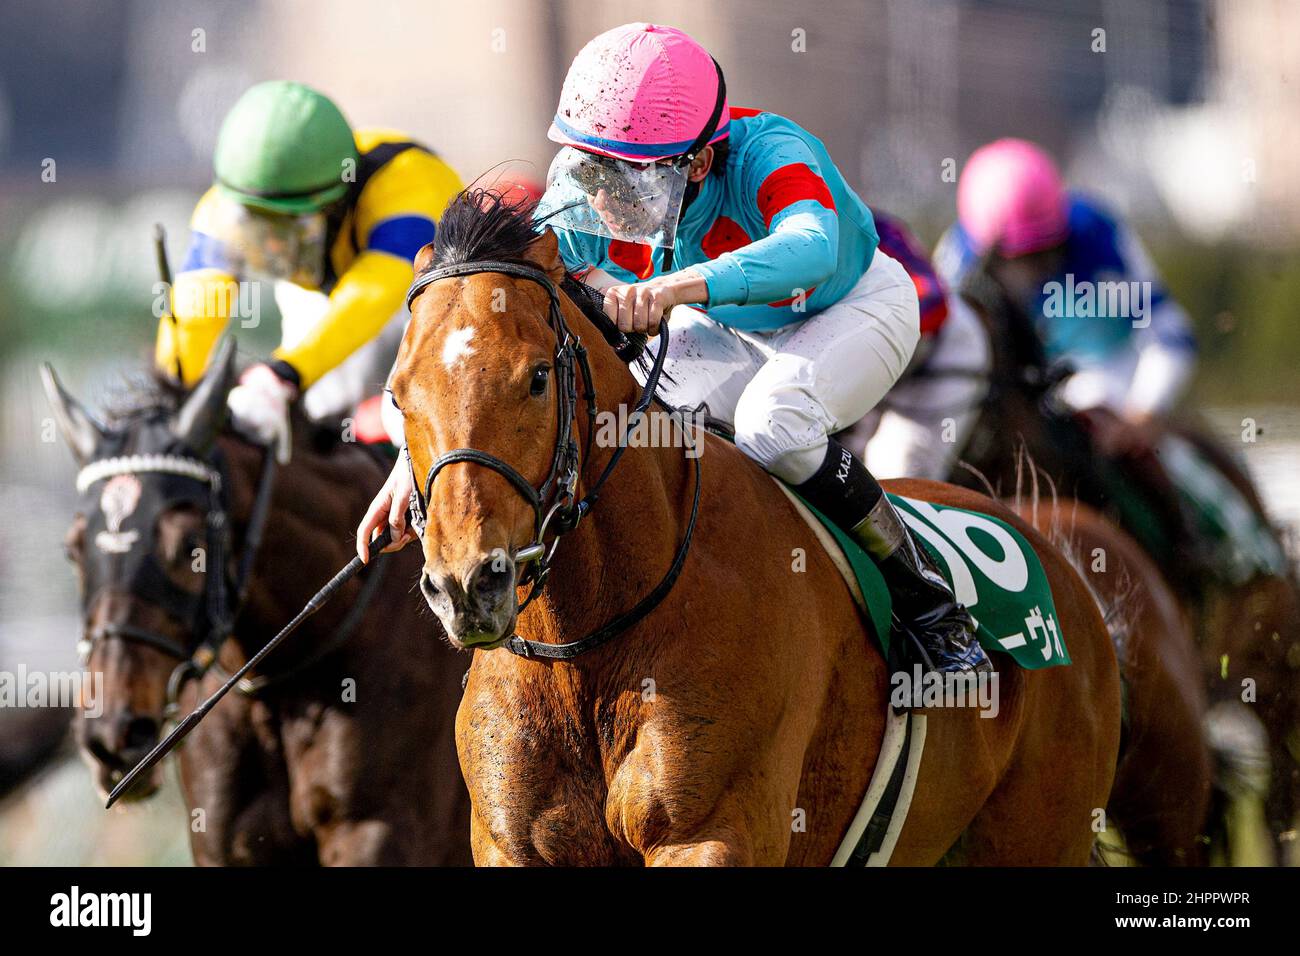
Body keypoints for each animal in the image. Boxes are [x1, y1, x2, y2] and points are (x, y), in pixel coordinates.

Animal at [384, 192, 1118, 868]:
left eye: (537, 377)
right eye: (397, 395)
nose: (467, 586)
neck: (590, 643)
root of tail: (1055, 557)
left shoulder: (714, 832)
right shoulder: (512, 844)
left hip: (1038, 834)